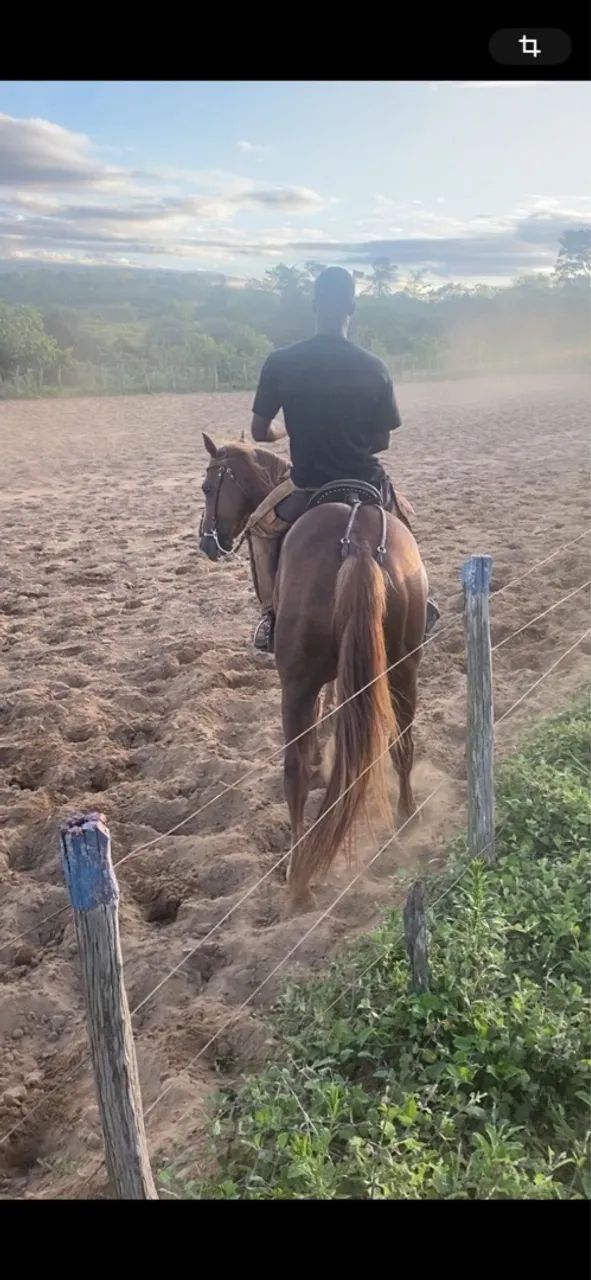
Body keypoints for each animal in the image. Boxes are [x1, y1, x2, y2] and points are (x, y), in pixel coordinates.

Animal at [198, 435, 428, 910]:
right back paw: (406, 816)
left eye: (208, 487)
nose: (207, 542)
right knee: (402, 741)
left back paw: (298, 876)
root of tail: (357, 541)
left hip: (296, 683)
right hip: (403, 665)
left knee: (295, 772)